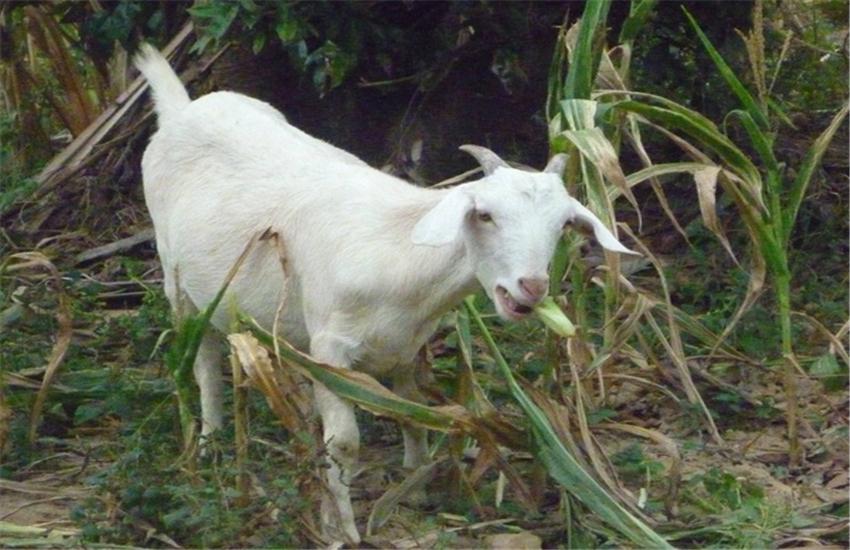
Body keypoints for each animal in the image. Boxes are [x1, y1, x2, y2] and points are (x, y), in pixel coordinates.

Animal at [136, 43, 628, 544]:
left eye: (563, 224)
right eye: (485, 214)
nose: (531, 286)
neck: (400, 254)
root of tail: (182, 109)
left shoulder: (406, 344)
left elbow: (412, 408)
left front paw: (416, 481)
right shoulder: (330, 346)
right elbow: (344, 443)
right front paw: (342, 529)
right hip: (176, 279)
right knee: (201, 358)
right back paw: (209, 440)